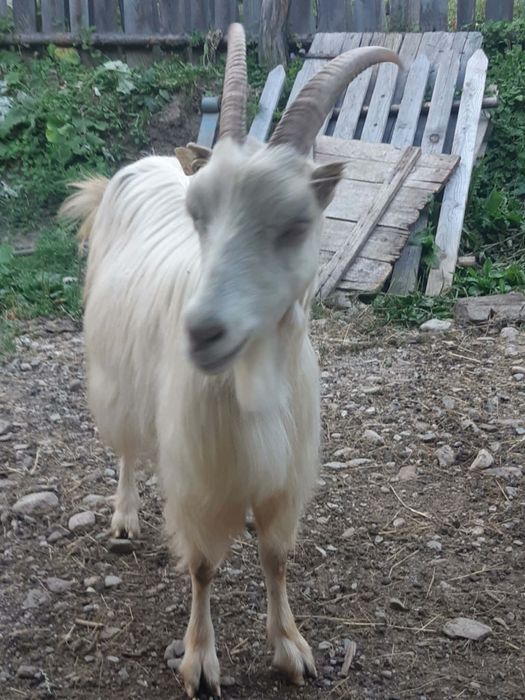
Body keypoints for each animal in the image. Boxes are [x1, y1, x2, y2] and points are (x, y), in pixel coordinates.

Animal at [61, 24, 400, 698]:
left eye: (296, 224)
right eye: (198, 214)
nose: (201, 333)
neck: (250, 383)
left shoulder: (284, 472)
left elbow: (276, 557)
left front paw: (290, 647)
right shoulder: (201, 471)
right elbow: (200, 566)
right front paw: (199, 660)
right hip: (116, 374)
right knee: (127, 446)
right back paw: (124, 517)